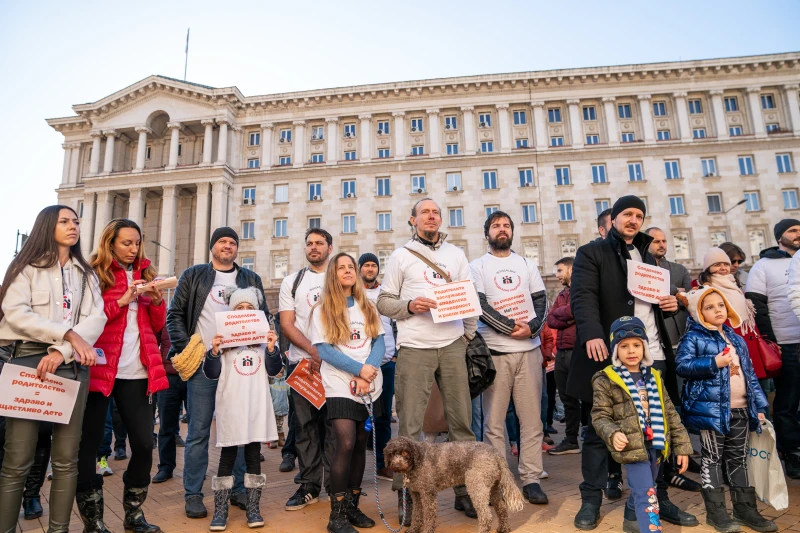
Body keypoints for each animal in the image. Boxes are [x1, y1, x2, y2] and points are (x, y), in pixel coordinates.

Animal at [382, 436, 520, 532]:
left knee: (486, 516)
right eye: (391, 454)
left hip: (477, 486)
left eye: (404, 453)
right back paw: (504, 528)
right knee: (501, 507)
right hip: (492, 488)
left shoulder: (428, 494)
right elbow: (416, 514)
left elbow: (429, 517)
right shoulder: (416, 494)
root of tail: (496, 453)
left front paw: (427, 530)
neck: (418, 460)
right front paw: (413, 529)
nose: (397, 465)